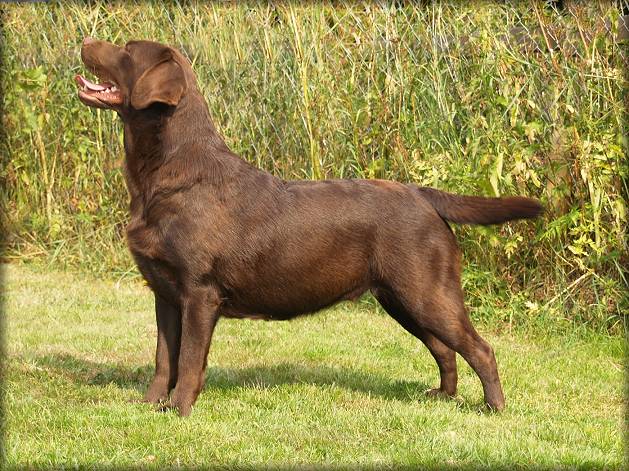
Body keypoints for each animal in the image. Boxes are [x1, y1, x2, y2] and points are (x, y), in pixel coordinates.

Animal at [76, 37, 542, 416]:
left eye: (126, 49)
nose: (84, 40)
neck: (164, 173)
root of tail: (421, 194)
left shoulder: (199, 292)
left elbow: (189, 360)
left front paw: (179, 410)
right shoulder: (165, 293)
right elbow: (163, 358)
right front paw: (150, 405)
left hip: (427, 293)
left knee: (480, 348)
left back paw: (494, 408)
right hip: (401, 299)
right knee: (444, 349)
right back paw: (443, 396)